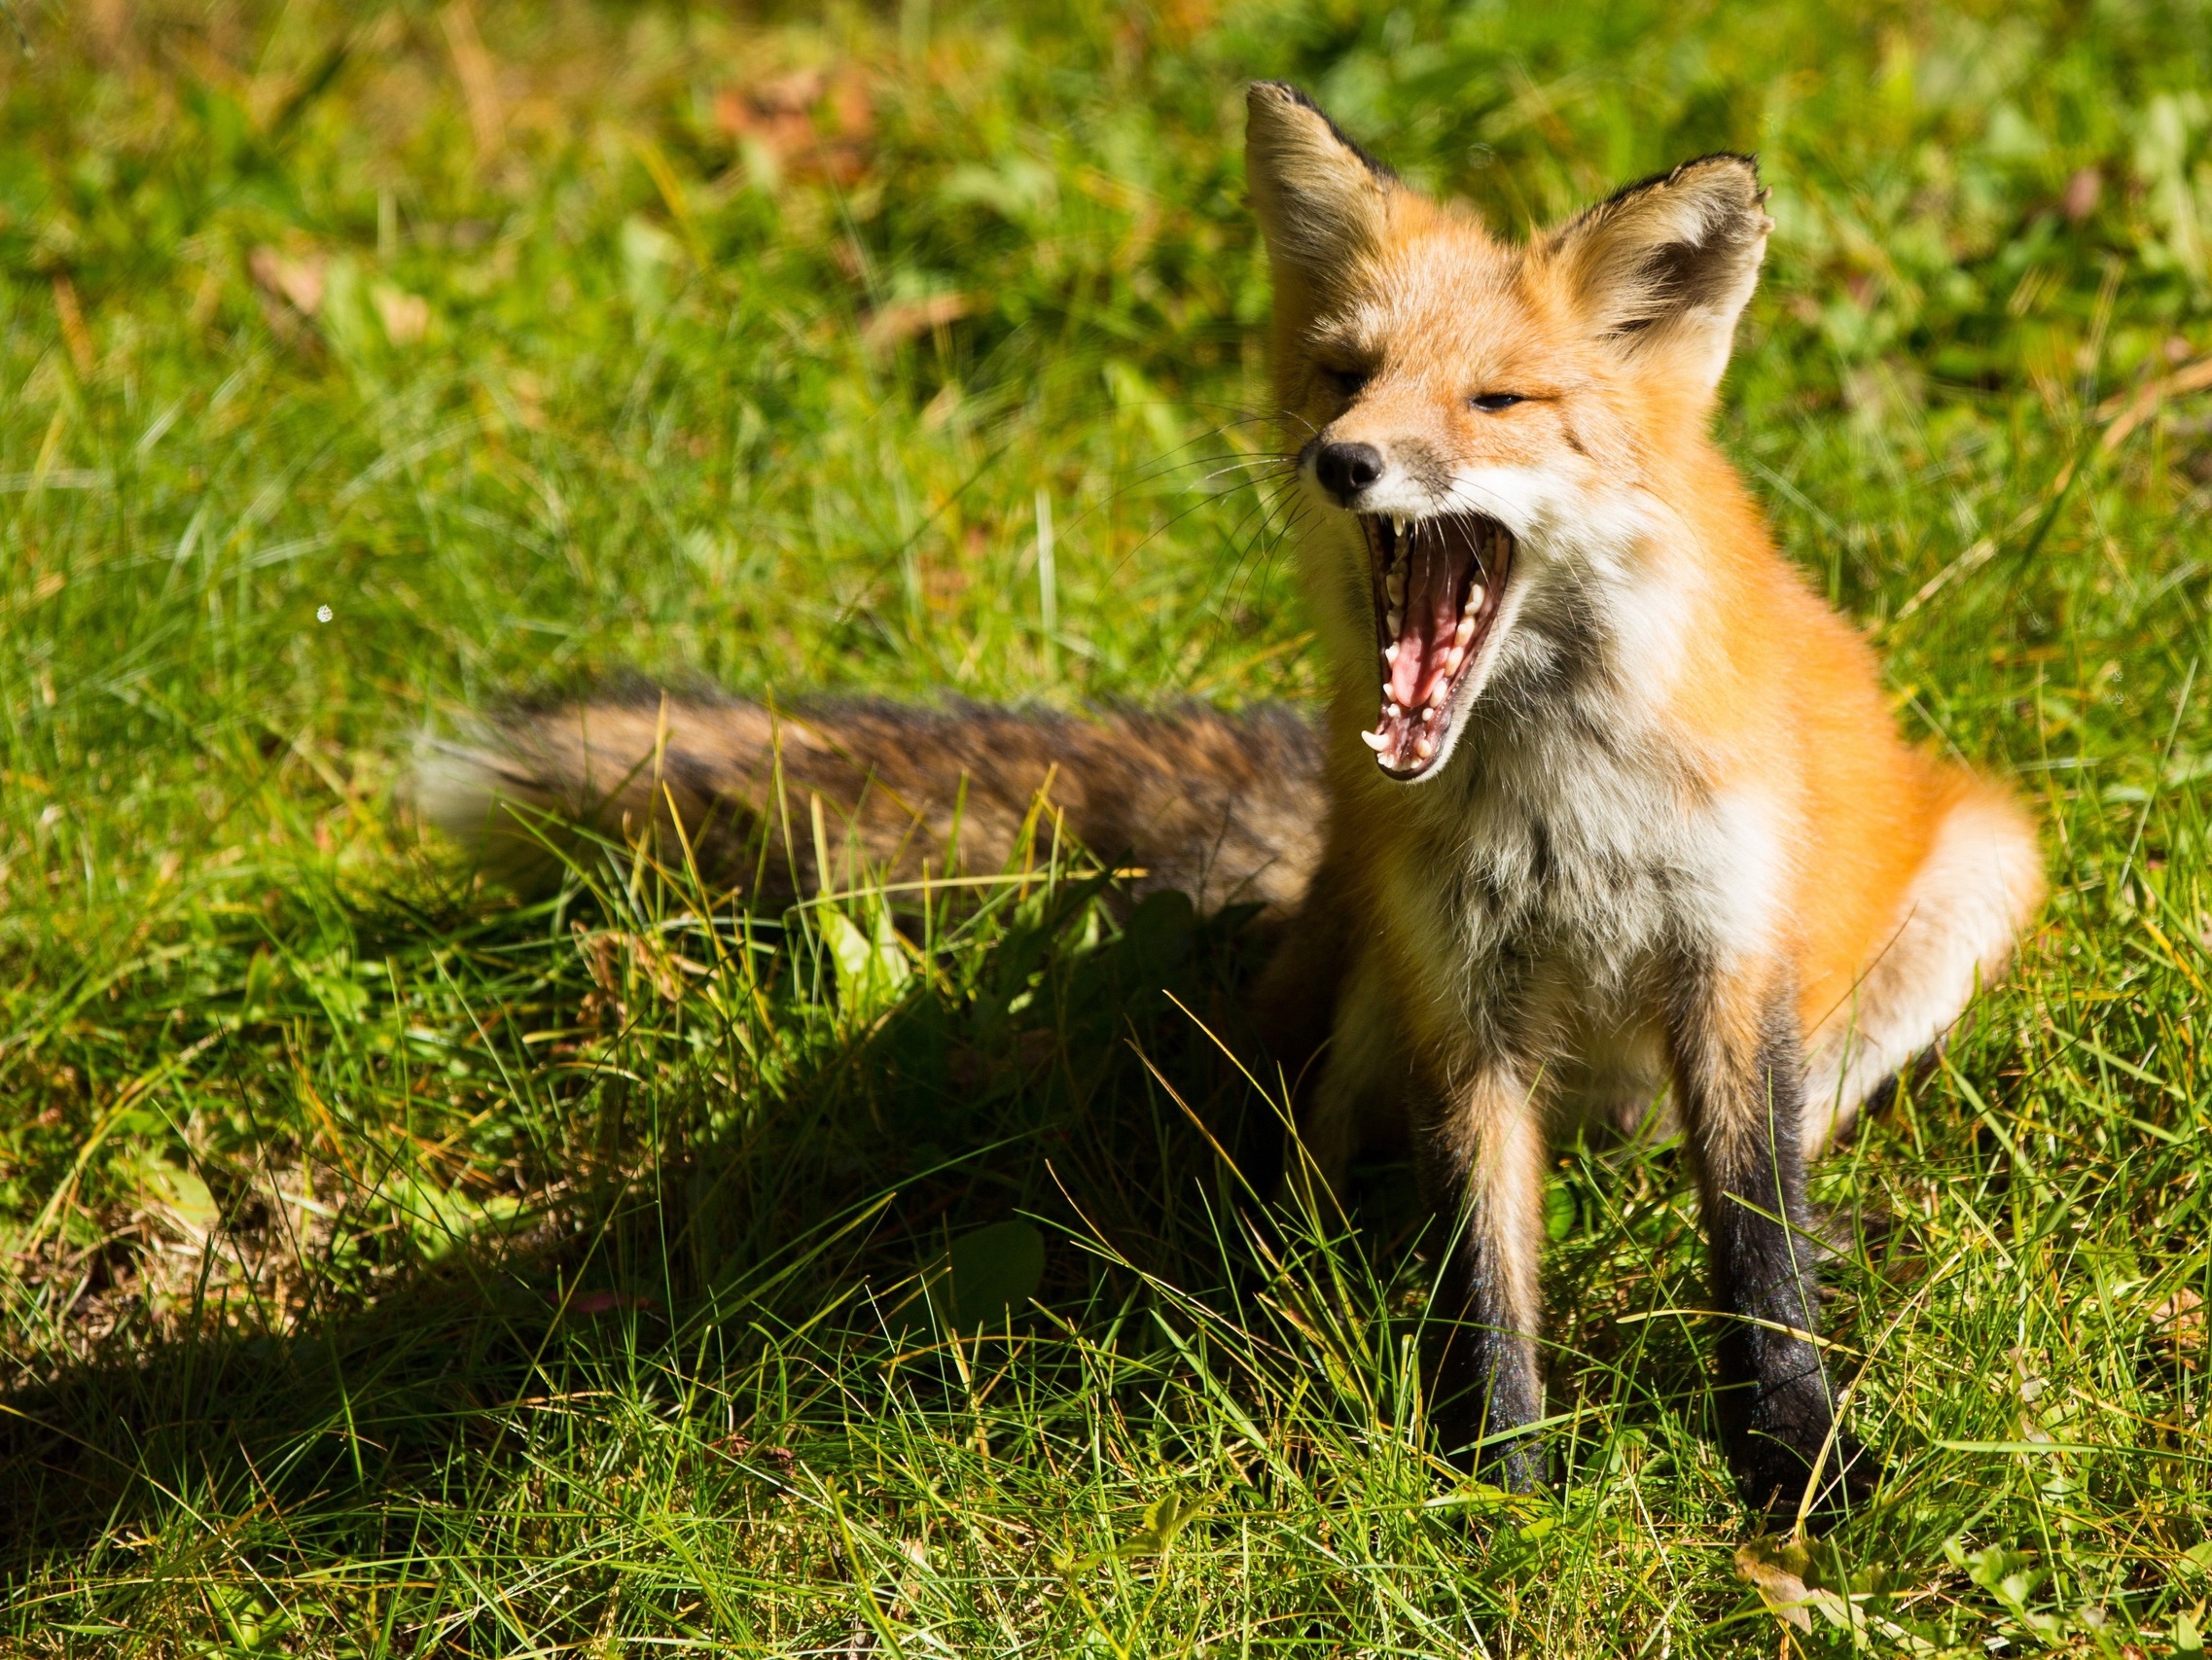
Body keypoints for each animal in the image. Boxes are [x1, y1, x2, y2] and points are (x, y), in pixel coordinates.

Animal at [422, 84, 2044, 1529]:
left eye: (1496, 401)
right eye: (1341, 374)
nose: (1343, 462)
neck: (1563, 800)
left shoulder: (1726, 960)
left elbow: (1759, 1252)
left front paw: (1797, 1467)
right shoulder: (1461, 993)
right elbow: (1482, 1283)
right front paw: (1499, 1493)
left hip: (1973, 879)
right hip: (1366, 1005)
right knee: (1311, 1173)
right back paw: (1282, 1288)